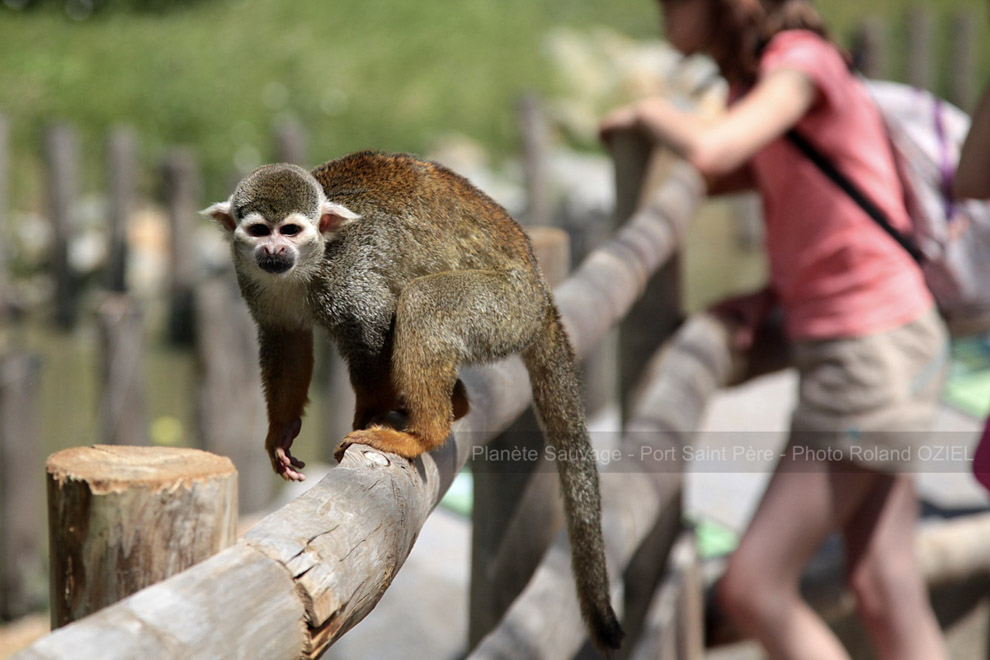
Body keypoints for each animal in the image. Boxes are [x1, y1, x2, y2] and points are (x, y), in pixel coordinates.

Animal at [204, 151, 624, 648]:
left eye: (289, 230)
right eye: (258, 231)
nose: (273, 252)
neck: (308, 265)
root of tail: (540, 294)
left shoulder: (347, 278)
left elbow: (373, 334)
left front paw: (367, 415)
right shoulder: (253, 281)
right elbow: (286, 339)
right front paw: (282, 434)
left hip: (502, 308)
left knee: (421, 302)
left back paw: (426, 431)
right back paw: (455, 406)